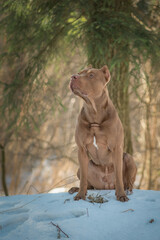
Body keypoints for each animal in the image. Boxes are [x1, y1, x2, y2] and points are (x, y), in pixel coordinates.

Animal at [69, 64, 136, 202]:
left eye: (91, 75)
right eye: (79, 72)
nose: (73, 76)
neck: (93, 111)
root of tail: (106, 186)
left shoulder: (116, 148)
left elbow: (118, 176)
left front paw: (121, 195)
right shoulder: (81, 149)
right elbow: (83, 179)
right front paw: (80, 195)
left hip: (129, 158)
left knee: (129, 182)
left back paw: (128, 190)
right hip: (82, 168)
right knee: (87, 183)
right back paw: (75, 189)